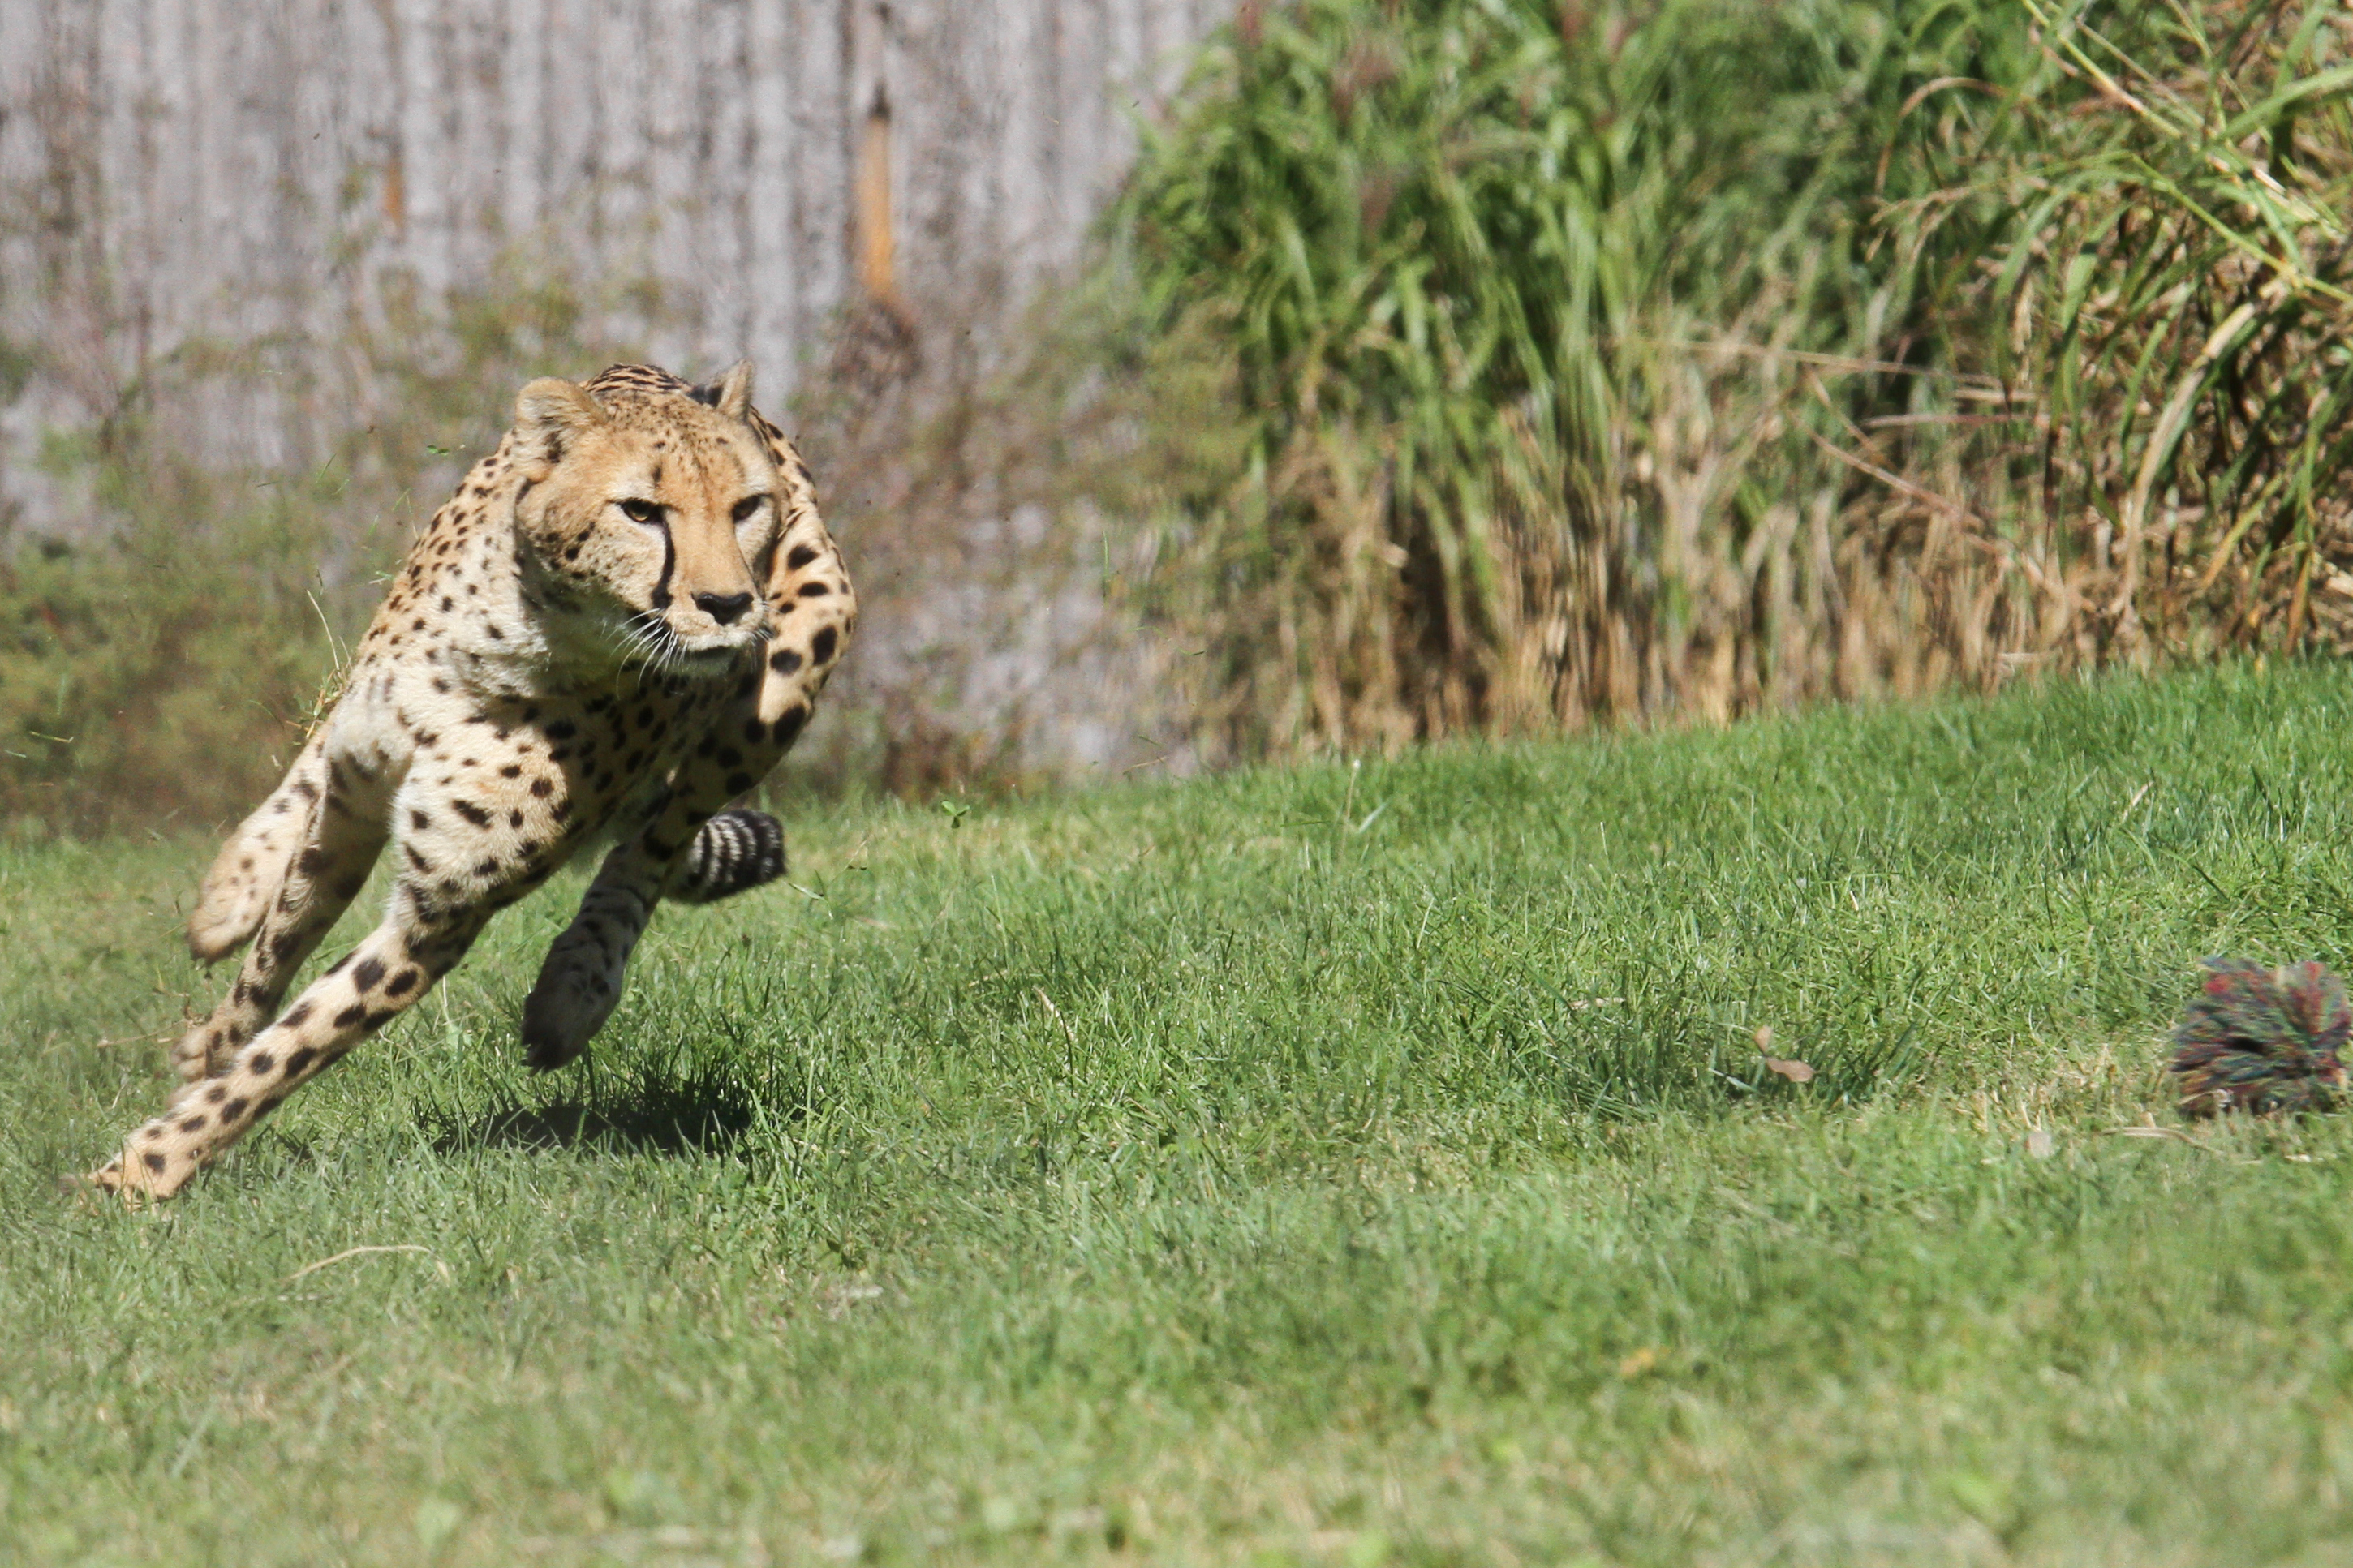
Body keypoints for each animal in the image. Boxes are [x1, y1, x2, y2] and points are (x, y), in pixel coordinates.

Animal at [86, 361, 856, 1200]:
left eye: (746, 507)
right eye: (641, 511)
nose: (728, 604)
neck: (521, 645)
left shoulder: (443, 910)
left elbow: (297, 1045)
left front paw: (147, 1166)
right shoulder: (351, 807)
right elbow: (272, 959)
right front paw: (209, 1054)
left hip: (799, 655)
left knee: (659, 839)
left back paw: (575, 988)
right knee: (315, 762)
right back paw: (230, 892)